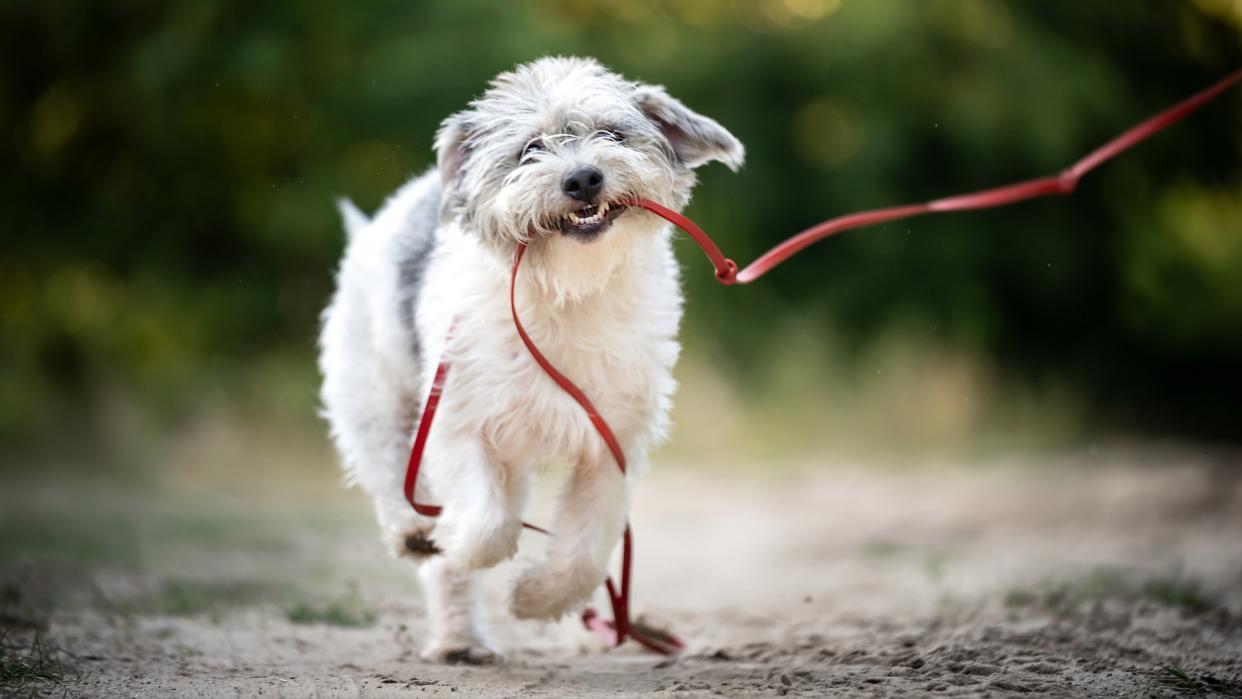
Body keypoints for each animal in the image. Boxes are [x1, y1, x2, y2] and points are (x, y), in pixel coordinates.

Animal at [320, 57, 740, 665]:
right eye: (530, 150)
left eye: (612, 135)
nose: (583, 178)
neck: (565, 292)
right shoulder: (455, 424)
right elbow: (486, 527)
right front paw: (455, 541)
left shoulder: (613, 444)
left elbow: (585, 549)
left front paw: (537, 599)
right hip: (375, 400)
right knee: (392, 477)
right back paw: (425, 557)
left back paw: (462, 637)